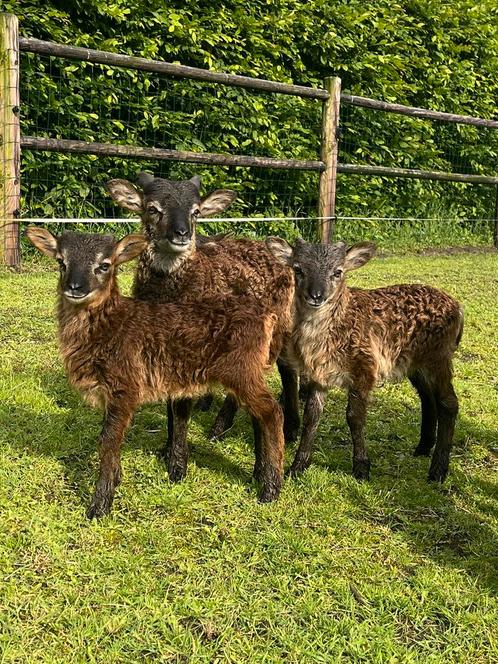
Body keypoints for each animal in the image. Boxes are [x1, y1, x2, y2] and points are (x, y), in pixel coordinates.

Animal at [26, 228, 284, 520]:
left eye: (105, 265)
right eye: (61, 262)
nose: (75, 288)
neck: (110, 328)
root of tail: (266, 316)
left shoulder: (125, 387)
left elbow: (108, 440)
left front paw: (99, 506)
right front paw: (116, 479)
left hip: (241, 369)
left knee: (272, 412)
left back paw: (270, 490)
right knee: (258, 414)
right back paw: (258, 475)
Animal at [106, 174, 300, 480]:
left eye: (196, 211)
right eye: (152, 208)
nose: (182, 234)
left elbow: (182, 407)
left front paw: (177, 465)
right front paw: (166, 449)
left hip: (279, 325)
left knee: (287, 370)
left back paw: (288, 429)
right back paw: (222, 428)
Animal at [266, 237, 464, 482]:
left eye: (338, 271)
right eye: (298, 269)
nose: (316, 295)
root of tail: (458, 308)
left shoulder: (365, 368)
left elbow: (354, 417)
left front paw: (361, 467)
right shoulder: (319, 374)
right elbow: (312, 417)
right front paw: (297, 467)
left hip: (438, 358)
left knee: (449, 403)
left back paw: (438, 470)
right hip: (415, 363)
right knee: (428, 398)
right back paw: (423, 447)